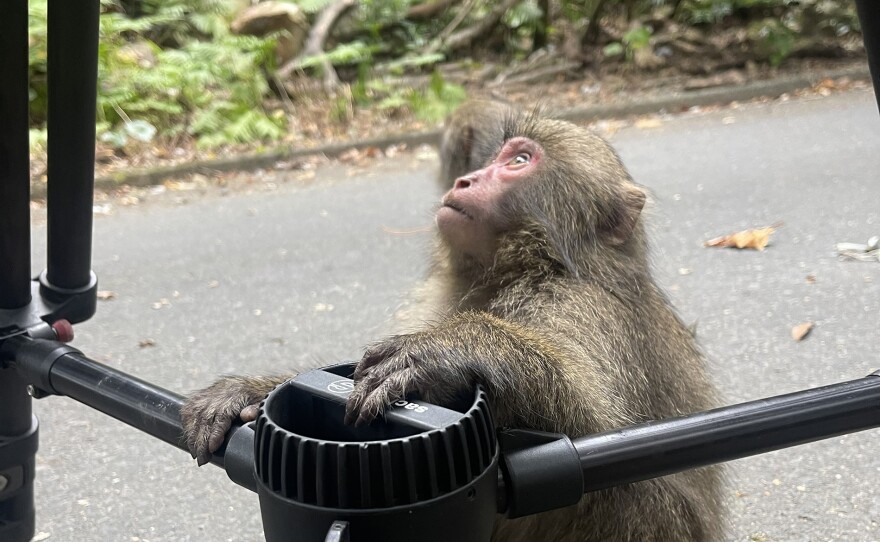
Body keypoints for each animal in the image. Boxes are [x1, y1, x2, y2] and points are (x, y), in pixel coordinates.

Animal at [181, 110, 724, 541]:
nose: (465, 180)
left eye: (519, 161)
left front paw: (451, 353)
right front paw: (251, 391)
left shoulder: (578, 303)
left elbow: (588, 437)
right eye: (491, 158)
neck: (520, 267)